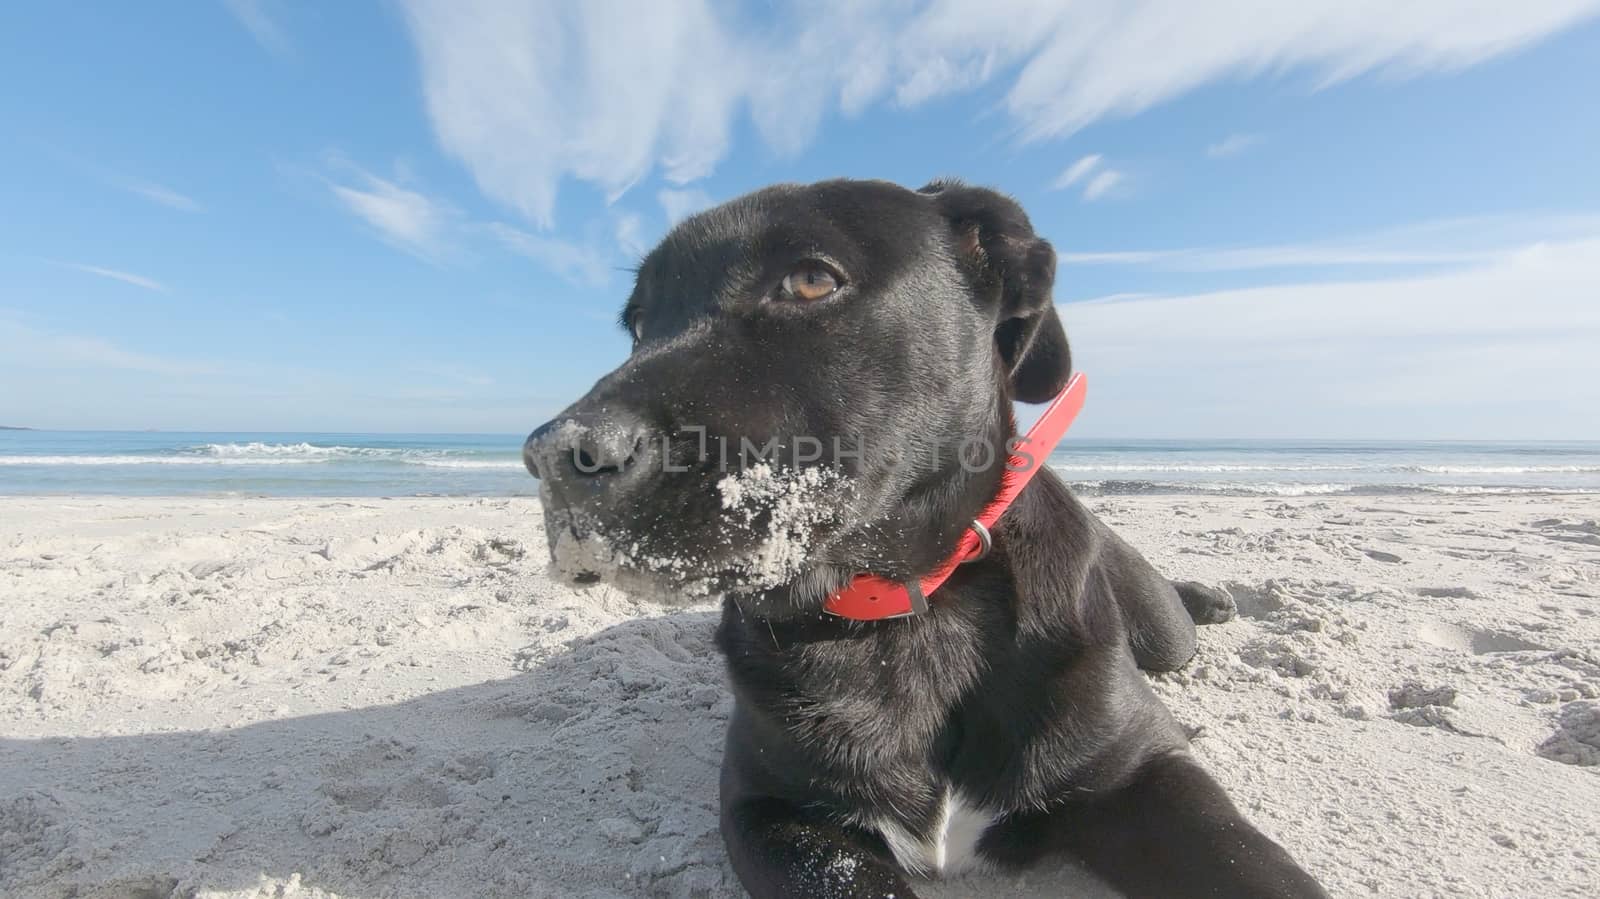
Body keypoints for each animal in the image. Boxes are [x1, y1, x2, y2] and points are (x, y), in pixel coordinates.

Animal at [524, 178, 1324, 889]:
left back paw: (1210, 597)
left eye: (810, 280)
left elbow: (1257, 866)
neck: (906, 610)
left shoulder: (1146, 769)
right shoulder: (769, 810)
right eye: (638, 324)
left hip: (1160, 633)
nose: (555, 456)